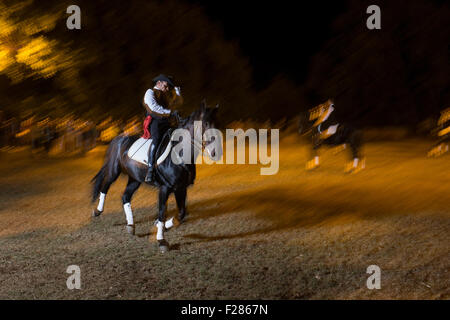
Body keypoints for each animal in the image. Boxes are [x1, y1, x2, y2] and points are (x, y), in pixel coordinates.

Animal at [90, 101, 219, 251]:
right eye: (206, 124)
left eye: (217, 123)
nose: (216, 152)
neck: (179, 154)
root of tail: (119, 138)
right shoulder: (164, 188)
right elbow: (162, 212)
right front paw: (161, 240)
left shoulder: (181, 188)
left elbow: (181, 213)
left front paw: (162, 226)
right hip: (113, 172)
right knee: (105, 187)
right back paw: (98, 211)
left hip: (135, 179)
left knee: (125, 196)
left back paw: (130, 225)